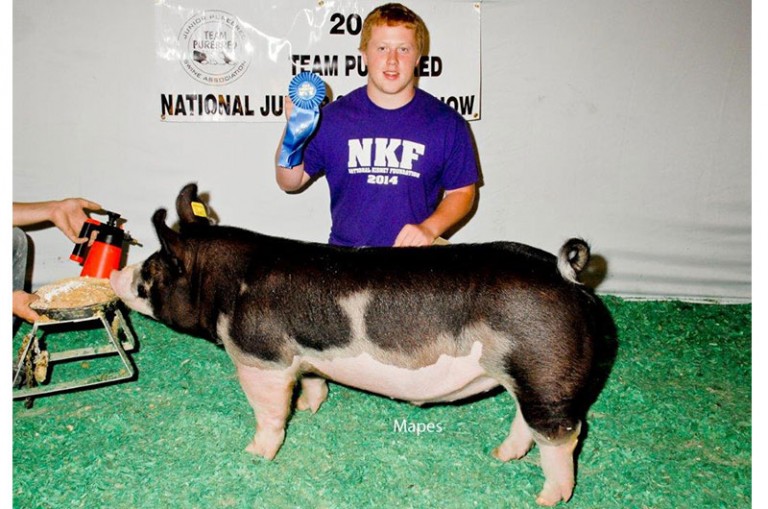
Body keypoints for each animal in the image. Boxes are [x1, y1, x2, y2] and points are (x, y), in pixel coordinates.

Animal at [110, 183, 608, 506]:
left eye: (152, 270)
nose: (115, 275)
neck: (226, 284)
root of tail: (564, 276)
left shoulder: (261, 359)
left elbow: (269, 413)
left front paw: (254, 454)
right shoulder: (306, 354)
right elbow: (312, 381)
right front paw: (310, 408)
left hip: (545, 371)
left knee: (564, 435)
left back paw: (547, 498)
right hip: (528, 376)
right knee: (528, 421)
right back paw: (502, 457)